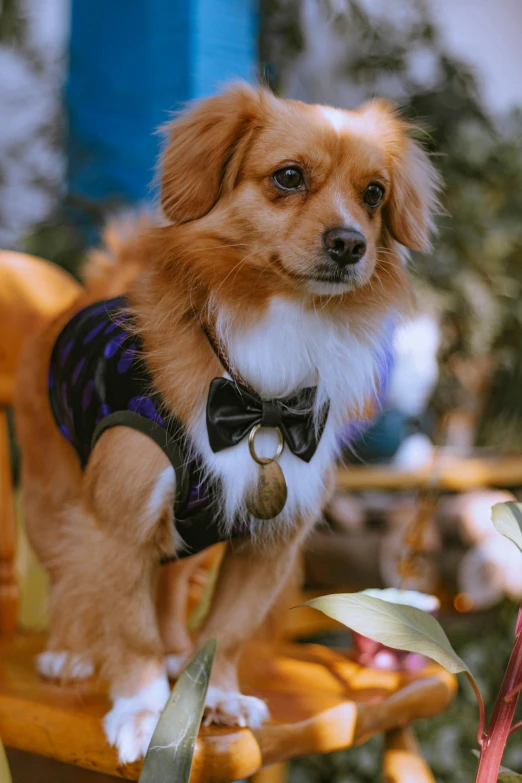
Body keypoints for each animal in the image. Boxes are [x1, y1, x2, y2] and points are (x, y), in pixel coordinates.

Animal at [14, 82, 436, 764]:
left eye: (374, 193)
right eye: (288, 177)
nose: (351, 243)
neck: (258, 395)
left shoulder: (271, 540)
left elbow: (227, 629)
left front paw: (214, 695)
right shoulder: (118, 525)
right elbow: (126, 626)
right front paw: (141, 711)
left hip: (183, 536)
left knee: (166, 592)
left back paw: (176, 658)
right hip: (55, 508)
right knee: (70, 582)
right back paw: (72, 653)